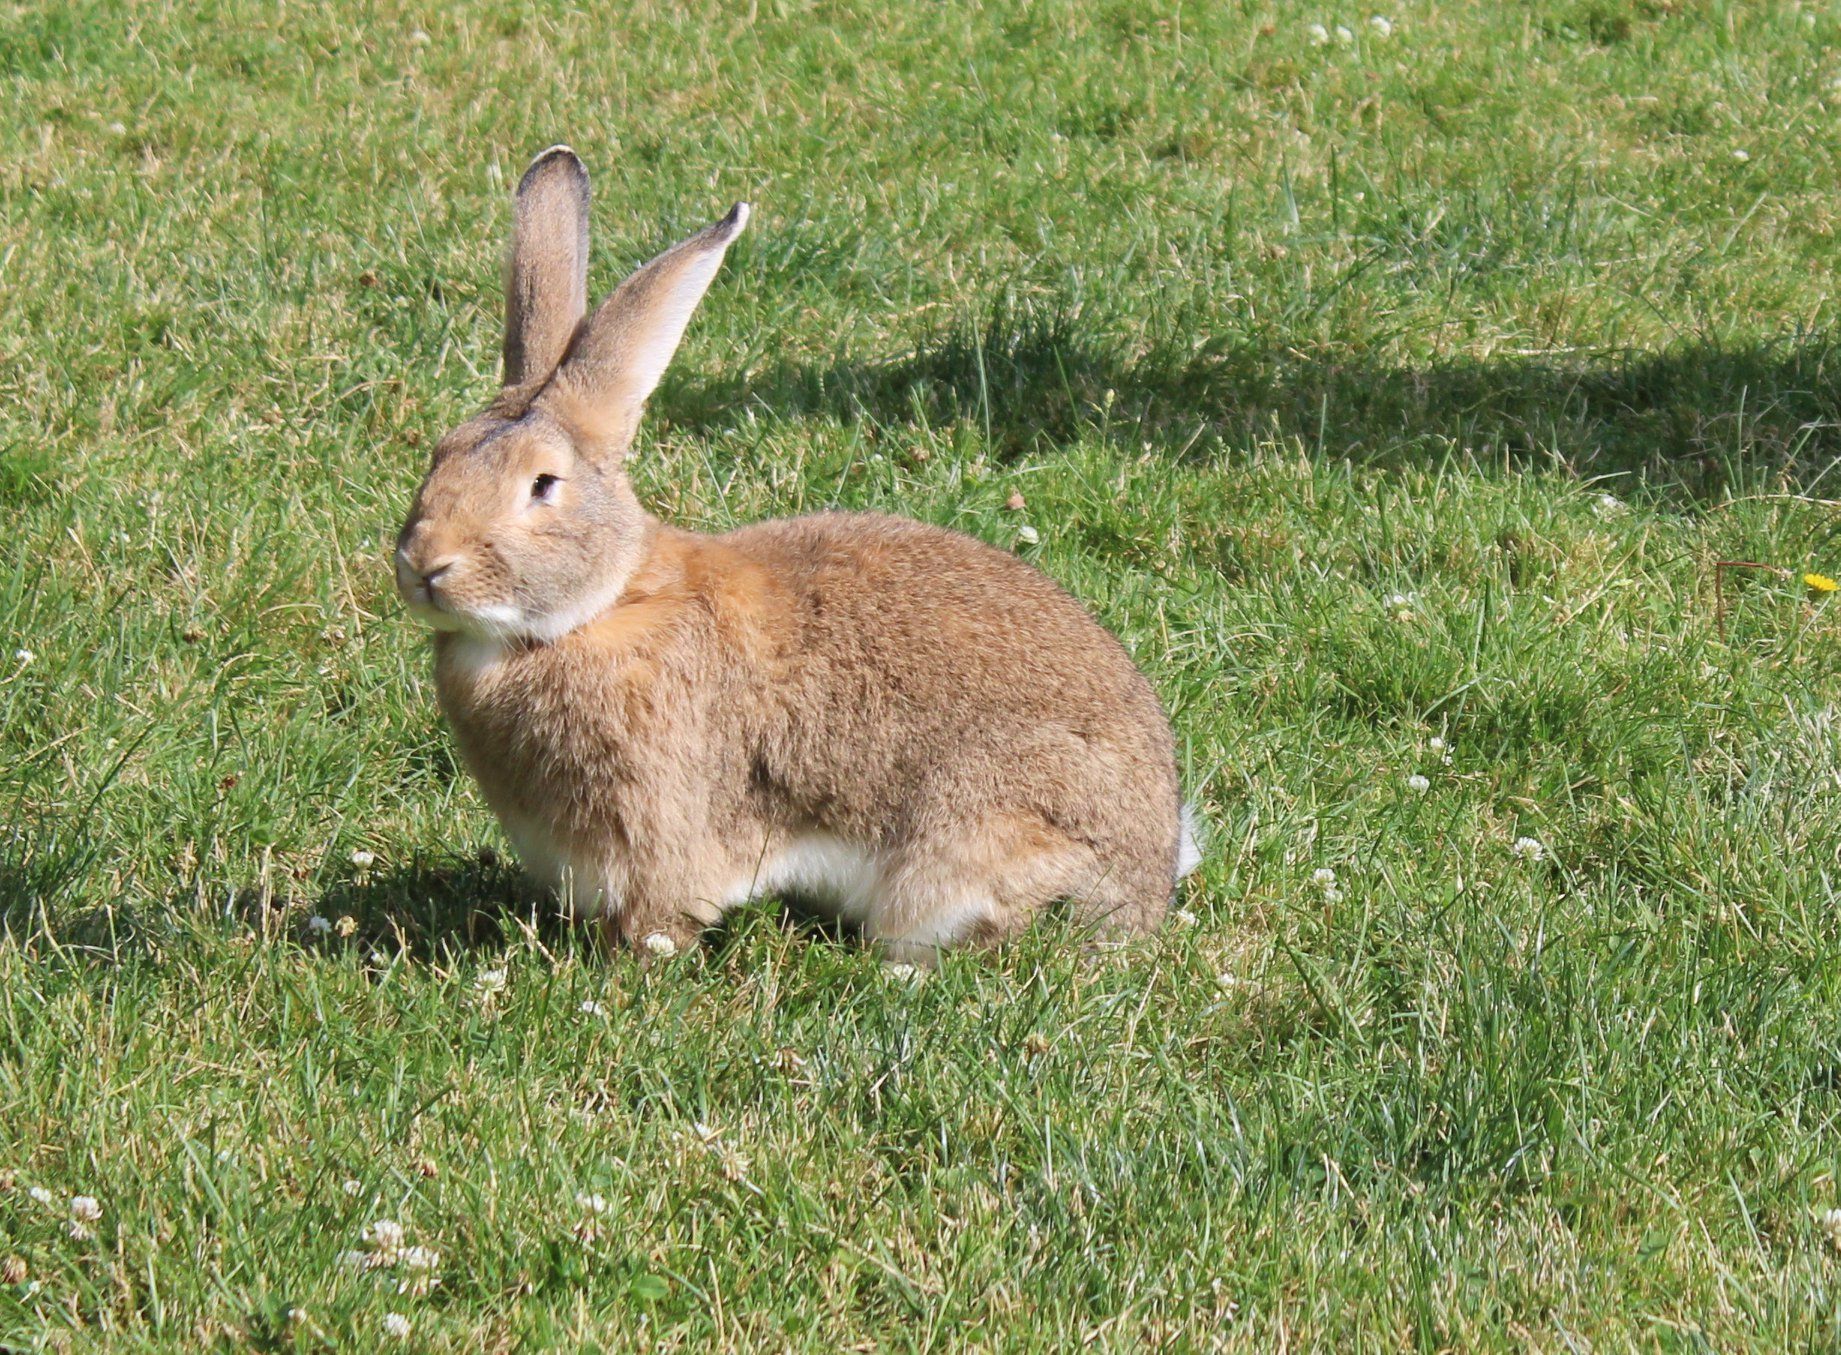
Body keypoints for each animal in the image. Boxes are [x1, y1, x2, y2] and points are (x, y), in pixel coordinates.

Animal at [394, 145, 1201, 964]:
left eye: (542, 484)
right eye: (439, 455)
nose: (425, 565)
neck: (597, 609)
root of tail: (1149, 875)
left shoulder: (658, 835)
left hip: (974, 840)